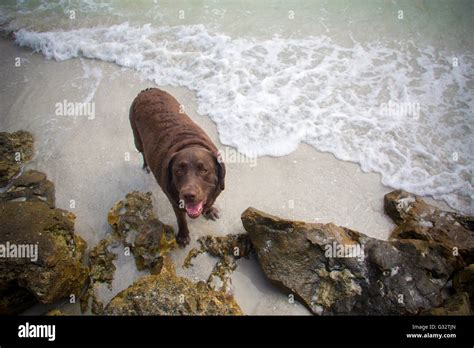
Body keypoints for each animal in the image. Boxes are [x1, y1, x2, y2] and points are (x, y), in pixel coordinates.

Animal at [130, 87, 226, 245]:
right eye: (178, 171)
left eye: (204, 170)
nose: (188, 195)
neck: (189, 143)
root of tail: (147, 90)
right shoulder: (175, 201)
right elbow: (181, 219)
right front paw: (183, 236)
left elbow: (211, 200)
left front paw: (210, 210)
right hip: (137, 138)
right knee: (142, 151)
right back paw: (146, 165)